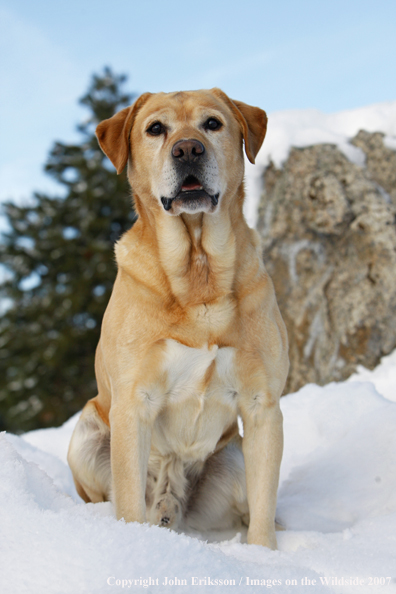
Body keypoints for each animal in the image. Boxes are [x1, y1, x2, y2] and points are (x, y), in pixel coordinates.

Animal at [68, 86, 290, 544]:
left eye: (213, 123)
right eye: (156, 129)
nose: (188, 149)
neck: (197, 270)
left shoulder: (262, 405)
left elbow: (263, 512)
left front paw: (265, 554)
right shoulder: (133, 403)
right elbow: (128, 501)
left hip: (233, 457)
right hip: (86, 431)